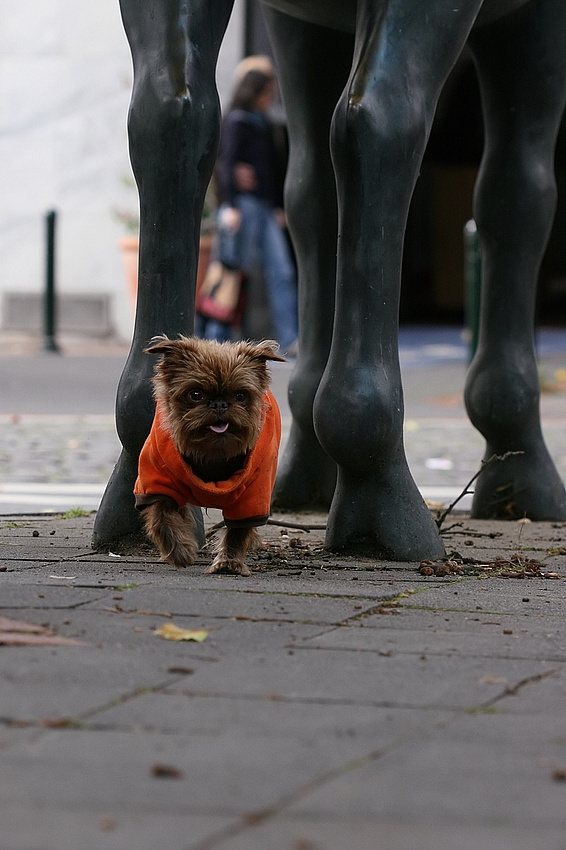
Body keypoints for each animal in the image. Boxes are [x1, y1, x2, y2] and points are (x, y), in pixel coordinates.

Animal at [133, 334, 284, 572]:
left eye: (241, 395)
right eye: (195, 394)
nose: (219, 403)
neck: (213, 454)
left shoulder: (252, 498)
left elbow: (237, 532)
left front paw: (229, 562)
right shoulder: (158, 483)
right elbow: (162, 517)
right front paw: (180, 551)